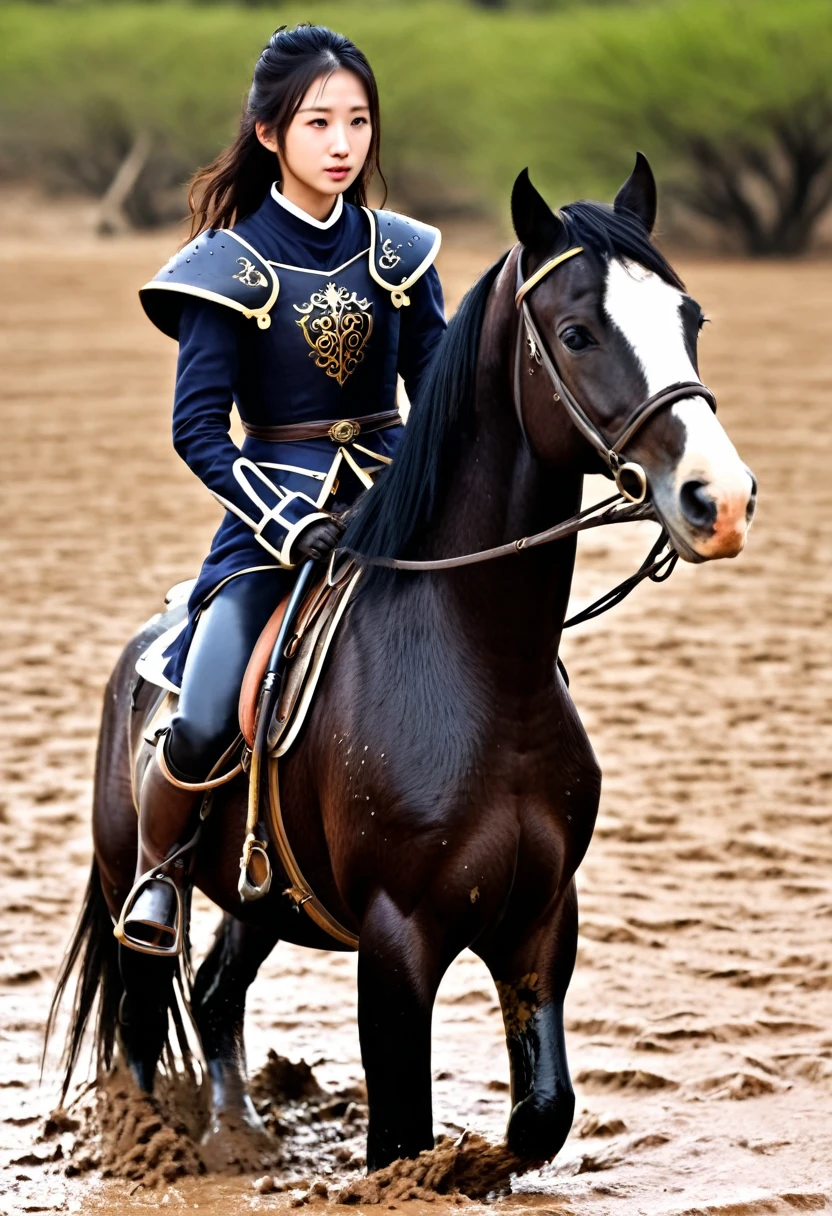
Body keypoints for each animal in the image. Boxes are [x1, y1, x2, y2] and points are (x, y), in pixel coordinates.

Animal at [50, 155, 756, 1175]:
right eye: (577, 333)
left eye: (688, 318)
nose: (720, 499)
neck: (486, 668)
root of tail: (139, 655)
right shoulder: (397, 942)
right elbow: (399, 1138)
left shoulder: (543, 918)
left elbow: (539, 1117)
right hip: (132, 881)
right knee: (144, 1018)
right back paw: (158, 1147)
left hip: (261, 903)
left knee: (217, 995)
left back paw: (240, 1134)